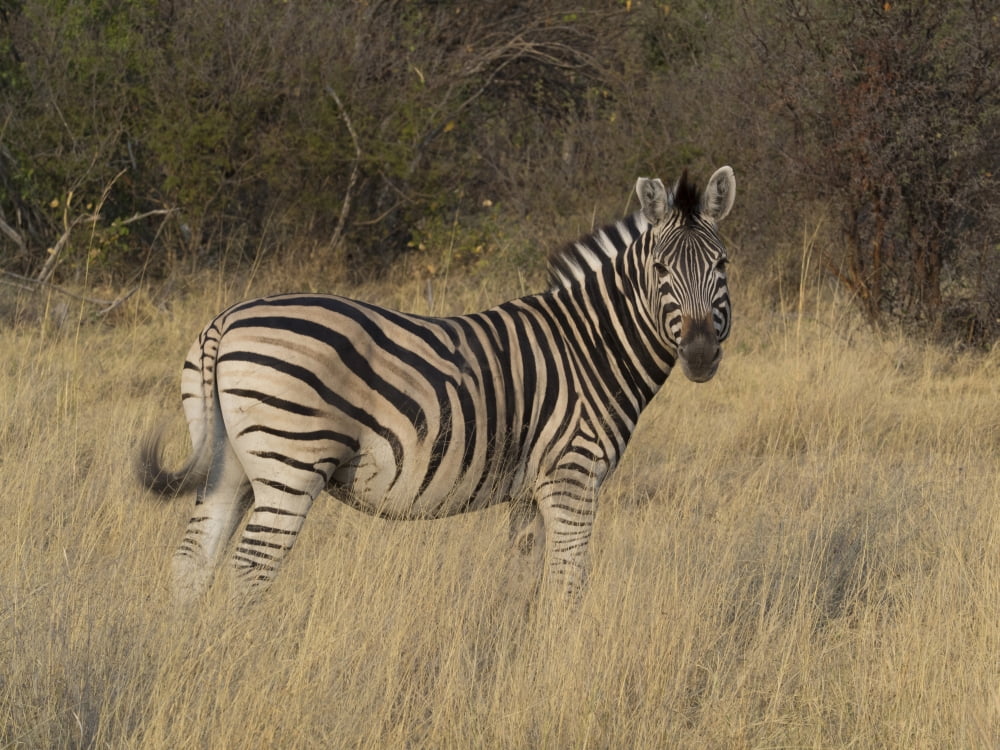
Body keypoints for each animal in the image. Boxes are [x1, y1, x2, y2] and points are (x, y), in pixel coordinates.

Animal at [138, 167, 736, 605]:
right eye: (660, 270)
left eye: (722, 265)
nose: (701, 355)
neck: (591, 346)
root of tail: (225, 321)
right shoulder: (572, 477)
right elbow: (569, 586)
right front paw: (562, 662)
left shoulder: (528, 491)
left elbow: (522, 582)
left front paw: (514, 656)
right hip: (291, 461)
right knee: (251, 568)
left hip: (231, 463)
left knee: (193, 559)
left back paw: (189, 655)